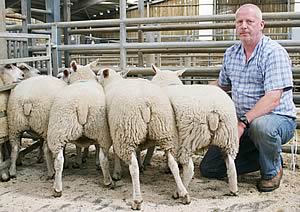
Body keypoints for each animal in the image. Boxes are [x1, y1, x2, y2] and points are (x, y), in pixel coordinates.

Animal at [45, 63, 112, 197]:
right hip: (99, 130)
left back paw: (57, 189)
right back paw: (107, 181)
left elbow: (79, 146)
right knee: (104, 157)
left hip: (60, 130)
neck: (83, 79)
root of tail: (82, 105)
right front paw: (81, 160)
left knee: (58, 161)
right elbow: (82, 146)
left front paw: (79, 161)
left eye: (67, 72)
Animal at [97, 68, 190, 210]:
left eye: (98, 74)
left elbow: (117, 154)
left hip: (127, 131)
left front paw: (116, 173)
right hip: (165, 130)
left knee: (133, 167)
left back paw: (137, 200)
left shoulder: (116, 131)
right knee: (173, 163)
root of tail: (147, 102)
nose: (95, 79)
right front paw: (141, 164)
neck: (112, 83)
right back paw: (183, 194)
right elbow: (138, 150)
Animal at [152, 65, 239, 196]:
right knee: (231, 165)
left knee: (189, 169)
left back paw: (179, 192)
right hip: (229, 138)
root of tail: (213, 112)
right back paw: (233, 190)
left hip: (188, 139)